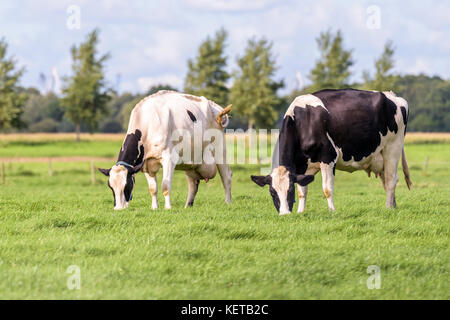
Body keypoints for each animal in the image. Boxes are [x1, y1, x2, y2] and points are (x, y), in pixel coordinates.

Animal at [99, 90, 232, 210]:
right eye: (110, 187)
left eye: (127, 185)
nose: (118, 208)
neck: (147, 122)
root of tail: (215, 107)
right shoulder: (145, 163)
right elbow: (153, 188)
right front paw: (154, 207)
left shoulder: (169, 158)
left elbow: (165, 185)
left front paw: (168, 207)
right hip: (191, 160)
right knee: (193, 184)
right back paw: (187, 206)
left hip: (220, 150)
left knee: (226, 177)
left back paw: (227, 203)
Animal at [251, 87, 414, 215]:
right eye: (272, 192)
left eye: (289, 190)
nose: (285, 214)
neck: (303, 122)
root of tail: (392, 95)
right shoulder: (302, 166)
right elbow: (302, 191)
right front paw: (300, 212)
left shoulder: (328, 157)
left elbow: (327, 189)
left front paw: (332, 211)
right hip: (379, 156)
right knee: (386, 180)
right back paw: (393, 206)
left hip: (393, 148)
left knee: (391, 179)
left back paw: (388, 207)